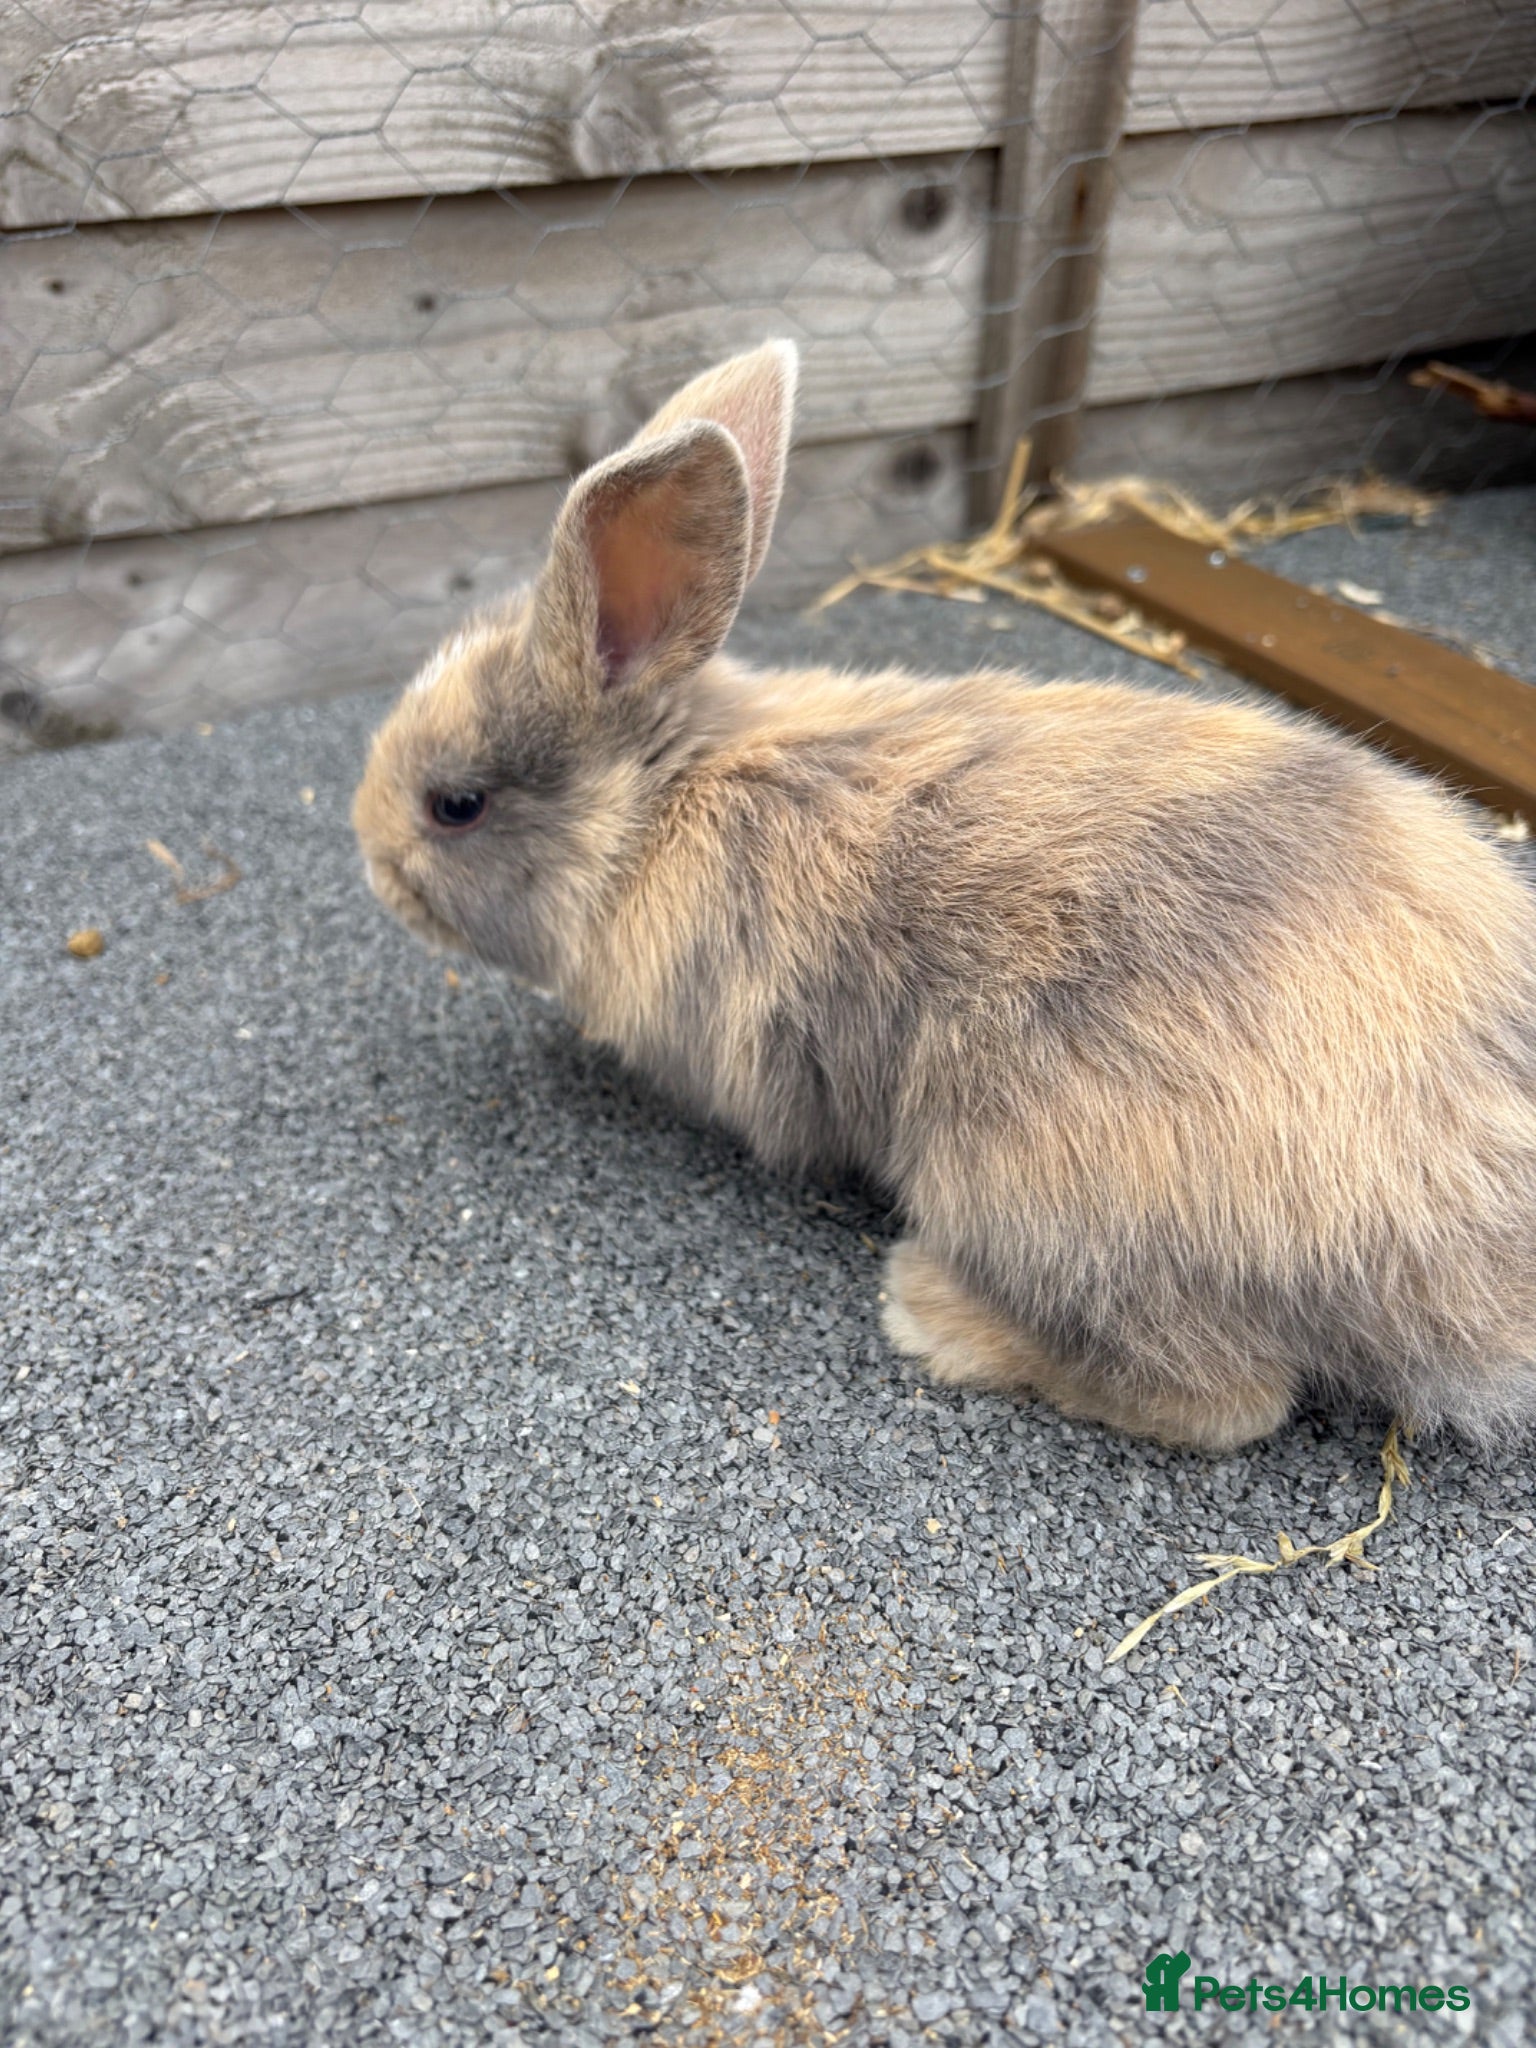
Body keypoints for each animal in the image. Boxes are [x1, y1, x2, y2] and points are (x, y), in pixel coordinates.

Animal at [353, 339, 1536, 1452]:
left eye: (455, 805)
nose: (368, 852)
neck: (658, 804)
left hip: (1038, 1190)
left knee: (1227, 1400)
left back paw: (931, 1313)